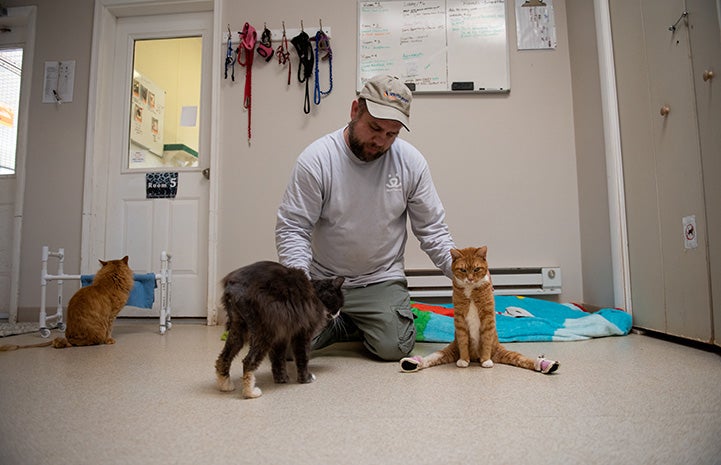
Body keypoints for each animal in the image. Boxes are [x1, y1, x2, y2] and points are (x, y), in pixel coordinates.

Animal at [400, 246, 564, 374]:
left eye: (476, 269)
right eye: (463, 270)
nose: (470, 278)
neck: (471, 290)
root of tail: (475, 356)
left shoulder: (487, 317)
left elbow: (485, 339)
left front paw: (485, 360)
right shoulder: (459, 319)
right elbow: (463, 340)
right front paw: (464, 360)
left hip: (501, 351)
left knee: (521, 358)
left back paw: (545, 364)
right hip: (449, 350)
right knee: (433, 357)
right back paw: (412, 363)